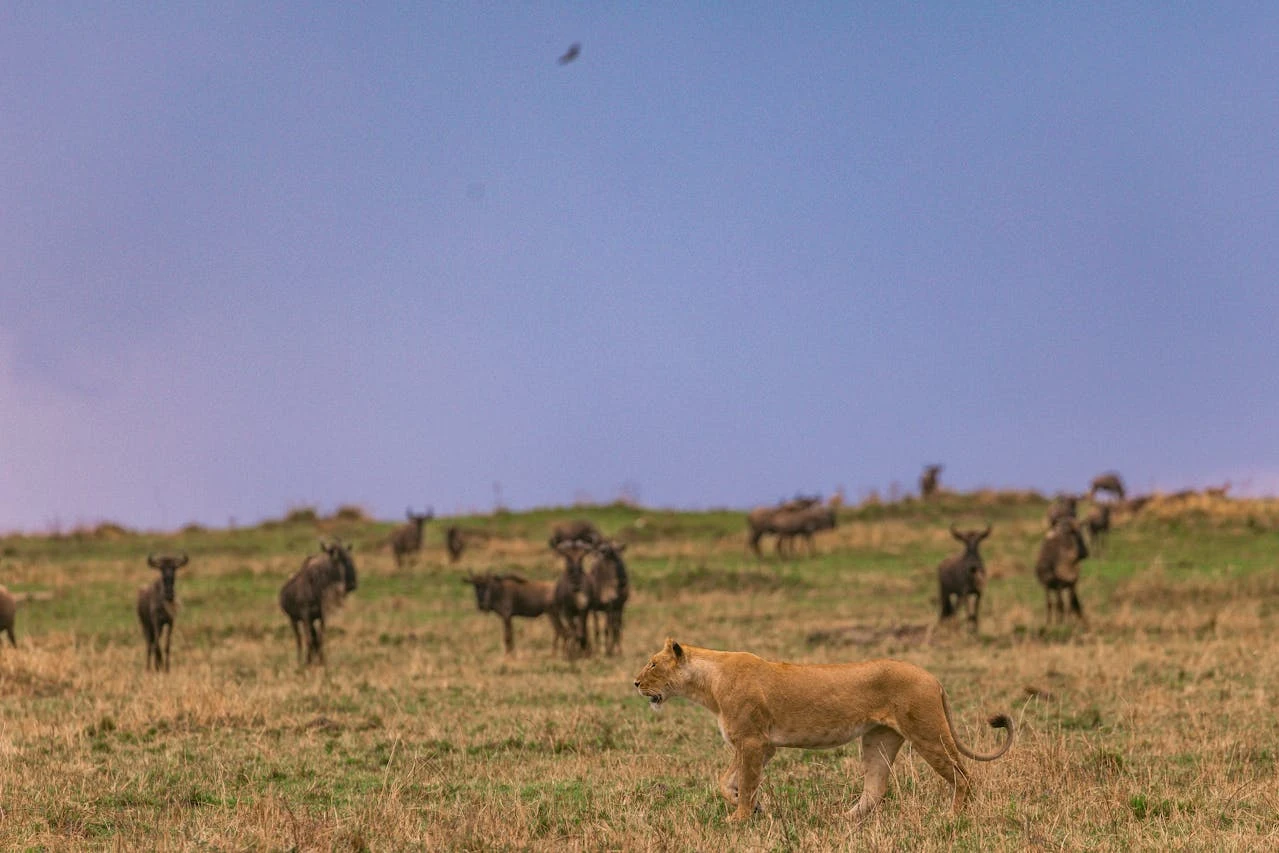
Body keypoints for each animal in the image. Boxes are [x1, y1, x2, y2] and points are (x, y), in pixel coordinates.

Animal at [633, 638, 1014, 823]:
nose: (635, 683)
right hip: (878, 739)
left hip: (927, 732)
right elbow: (726, 782)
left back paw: (951, 817)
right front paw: (753, 809)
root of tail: (933, 677)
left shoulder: (752, 741)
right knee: (876, 787)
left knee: (963, 776)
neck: (708, 684)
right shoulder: (761, 745)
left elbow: (746, 781)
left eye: (652, 664)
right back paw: (841, 820)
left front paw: (738, 819)